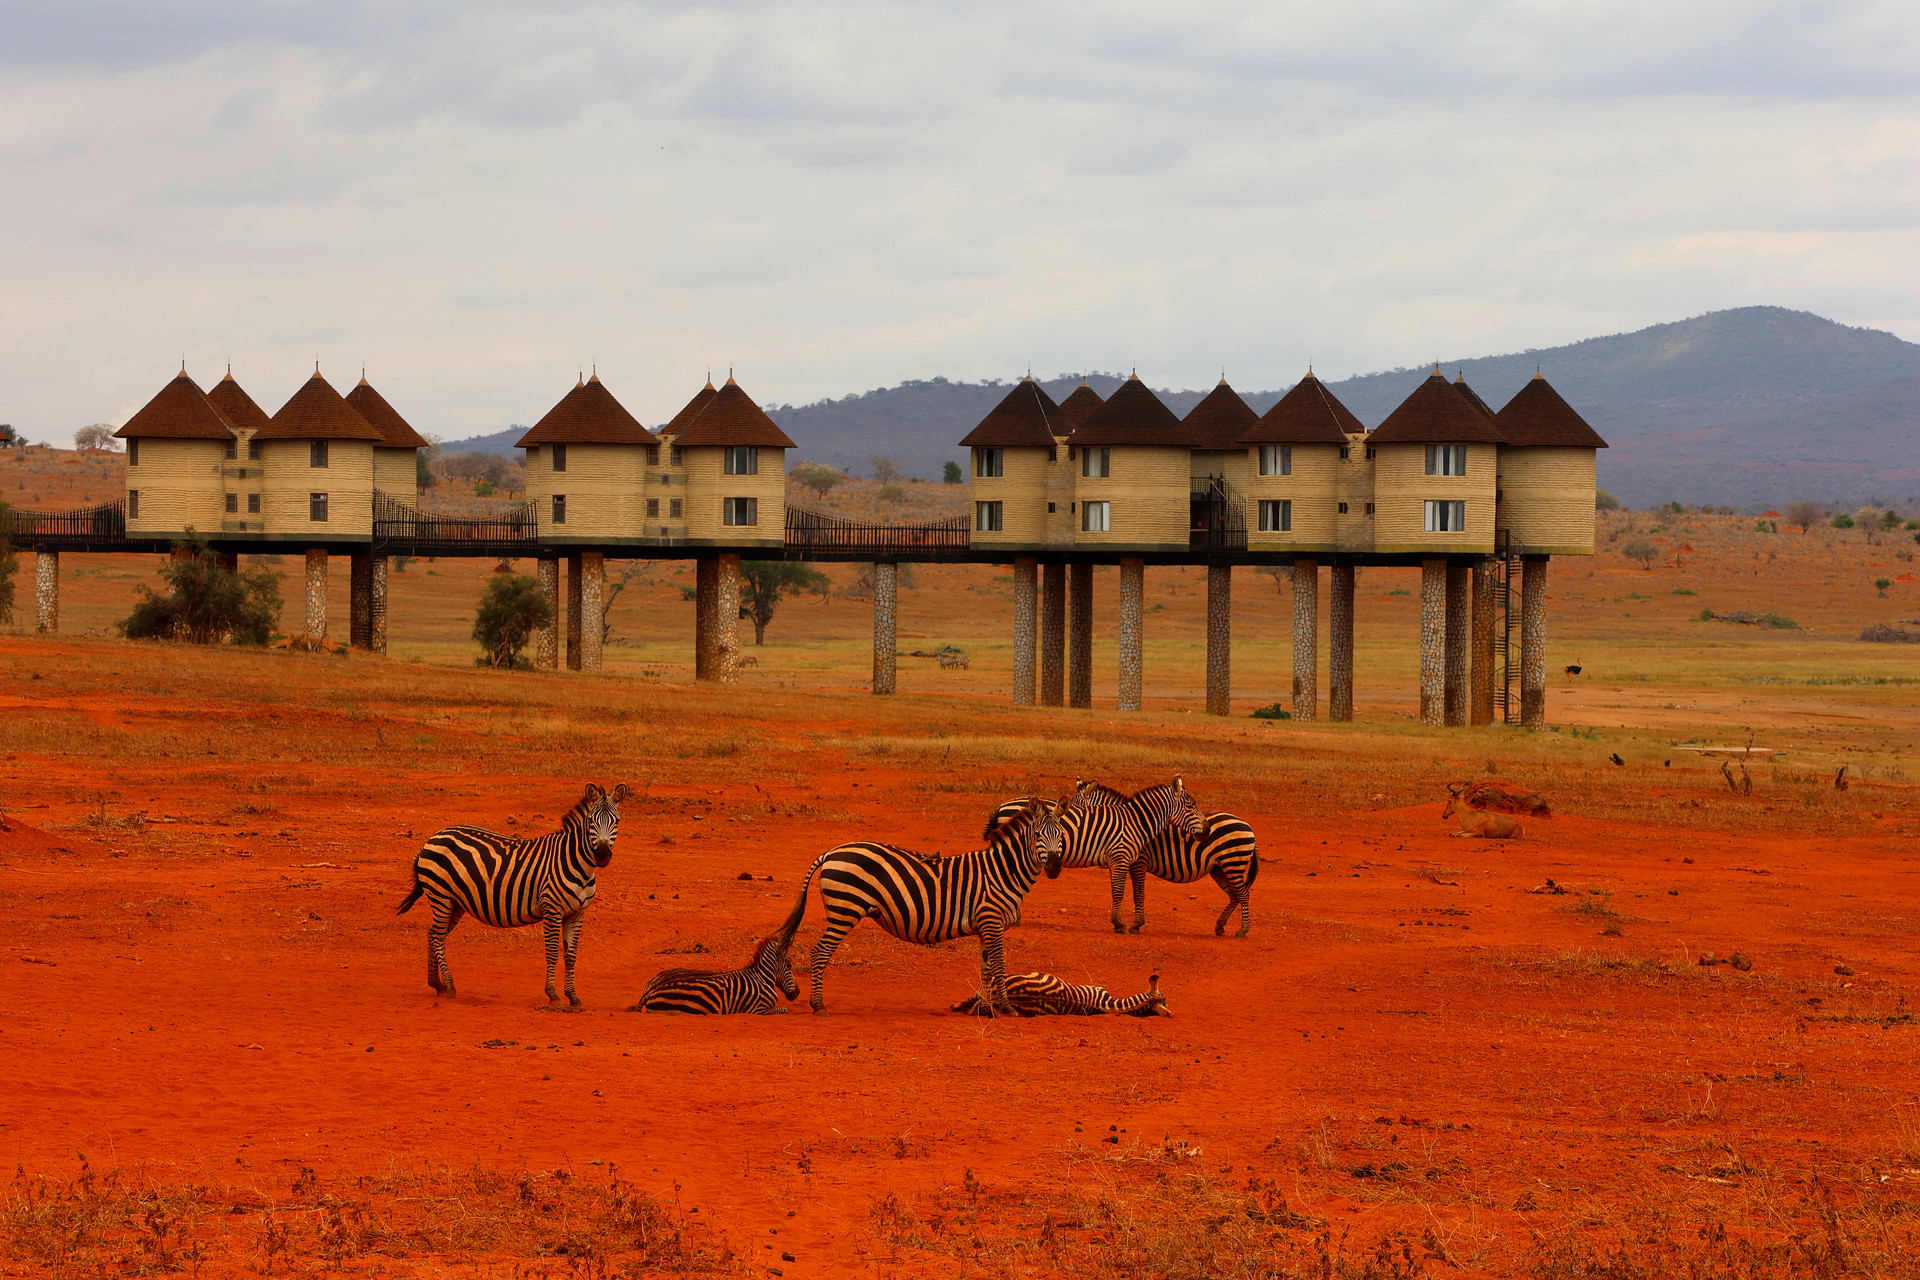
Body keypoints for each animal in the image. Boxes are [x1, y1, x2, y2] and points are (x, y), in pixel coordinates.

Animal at [397, 782, 631, 1009]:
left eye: (617, 821)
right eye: (591, 820)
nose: (602, 855)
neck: (577, 864)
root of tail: (435, 836)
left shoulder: (577, 914)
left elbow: (571, 956)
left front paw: (573, 998)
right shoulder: (552, 909)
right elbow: (552, 952)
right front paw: (553, 996)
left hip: (456, 903)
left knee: (432, 933)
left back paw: (437, 984)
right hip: (441, 896)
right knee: (437, 936)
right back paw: (450, 986)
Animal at [633, 937, 799, 1015]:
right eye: (790, 966)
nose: (797, 993)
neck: (762, 978)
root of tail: (650, 992)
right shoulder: (757, 1010)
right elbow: (784, 1010)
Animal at [774, 797, 1068, 1016]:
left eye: (1062, 835)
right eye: (1038, 834)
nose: (1055, 867)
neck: (1002, 872)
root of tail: (831, 852)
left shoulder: (986, 927)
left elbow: (986, 969)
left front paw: (984, 1009)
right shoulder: (992, 921)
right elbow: (999, 966)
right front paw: (1006, 1008)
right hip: (845, 909)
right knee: (820, 952)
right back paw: (818, 1005)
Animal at [989, 779, 1204, 934]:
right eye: (1190, 806)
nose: (1207, 828)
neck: (1135, 822)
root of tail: (1002, 806)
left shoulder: (1118, 860)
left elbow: (1120, 891)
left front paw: (1123, 922)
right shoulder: (1125, 859)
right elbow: (1126, 892)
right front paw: (1123, 924)